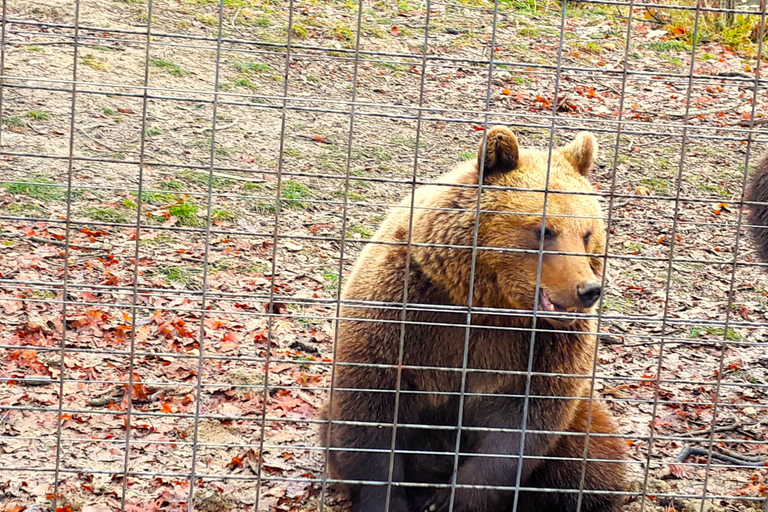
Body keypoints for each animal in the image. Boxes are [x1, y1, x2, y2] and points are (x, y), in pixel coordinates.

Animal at [318, 125, 624, 512]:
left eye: (587, 233)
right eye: (544, 230)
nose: (588, 289)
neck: (485, 302)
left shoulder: (540, 347)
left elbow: (522, 425)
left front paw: (450, 499)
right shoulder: (404, 309)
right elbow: (370, 410)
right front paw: (388, 499)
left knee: (595, 456)